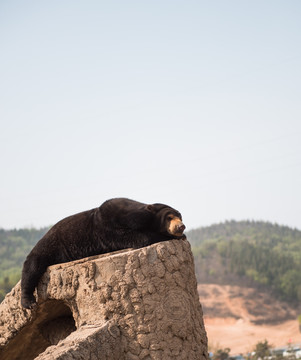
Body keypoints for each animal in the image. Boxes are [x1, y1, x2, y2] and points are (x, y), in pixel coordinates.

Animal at [19, 198, 185, 308]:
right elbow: (136, 236)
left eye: (180, 216)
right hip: (48, 246)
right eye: (169, 217)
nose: (181, 226)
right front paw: (172, 236)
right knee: (32, 266)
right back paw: (28, 302)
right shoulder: (112, 222)